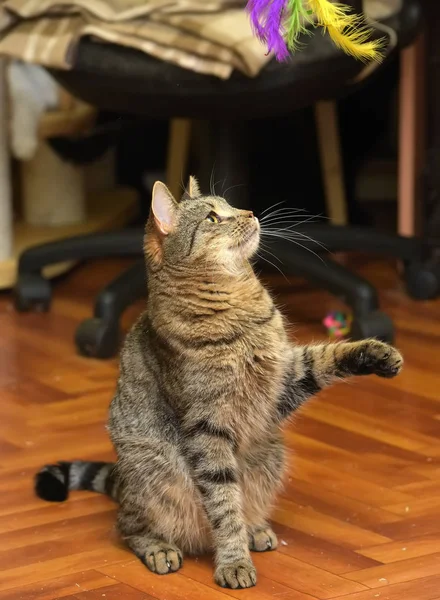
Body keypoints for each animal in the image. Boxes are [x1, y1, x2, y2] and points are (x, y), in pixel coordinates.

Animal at [36, 178, 404, 592]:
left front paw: (377, 353)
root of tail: (122, 479)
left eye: (232, 205)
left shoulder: (281, 382)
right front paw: (233, 560)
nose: (251, 213)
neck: (238, 304)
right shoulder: (207, 428)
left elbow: (326, 357)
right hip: (154, 478)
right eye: (213, 217)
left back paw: (255, 528)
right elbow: (224, 504)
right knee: (128, 526)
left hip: (269, 456)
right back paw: (160, 548)